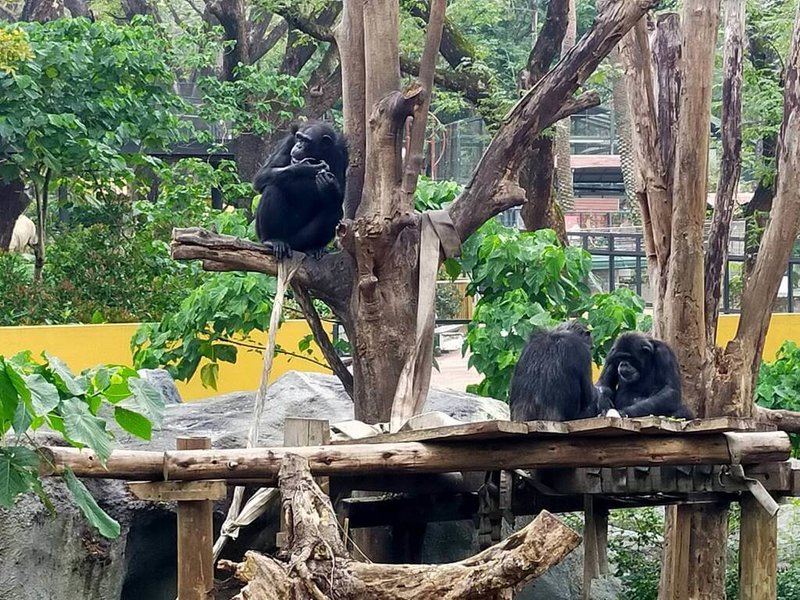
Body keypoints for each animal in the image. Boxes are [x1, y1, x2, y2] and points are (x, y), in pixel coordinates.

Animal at [253, 121, 346, 258]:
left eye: (306, 140)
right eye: (299, 137)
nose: (298, 145)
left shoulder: (341, 154)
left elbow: (341, 193)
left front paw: (329, 185)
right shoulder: (288, 142)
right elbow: (262, 176)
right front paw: (304, 167)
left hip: (298, 239)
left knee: (334, 208)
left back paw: (313, 247)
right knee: (273, 187)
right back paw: (272, 240)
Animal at [512, 324, 692, 422]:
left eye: (628, 357)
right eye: (620, 358)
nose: (623, 364)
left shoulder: (665, 354)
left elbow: (670, 391)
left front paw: (622, 412)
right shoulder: (609, 353)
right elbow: (604, 386)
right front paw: (605, 403)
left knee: (683, 411)